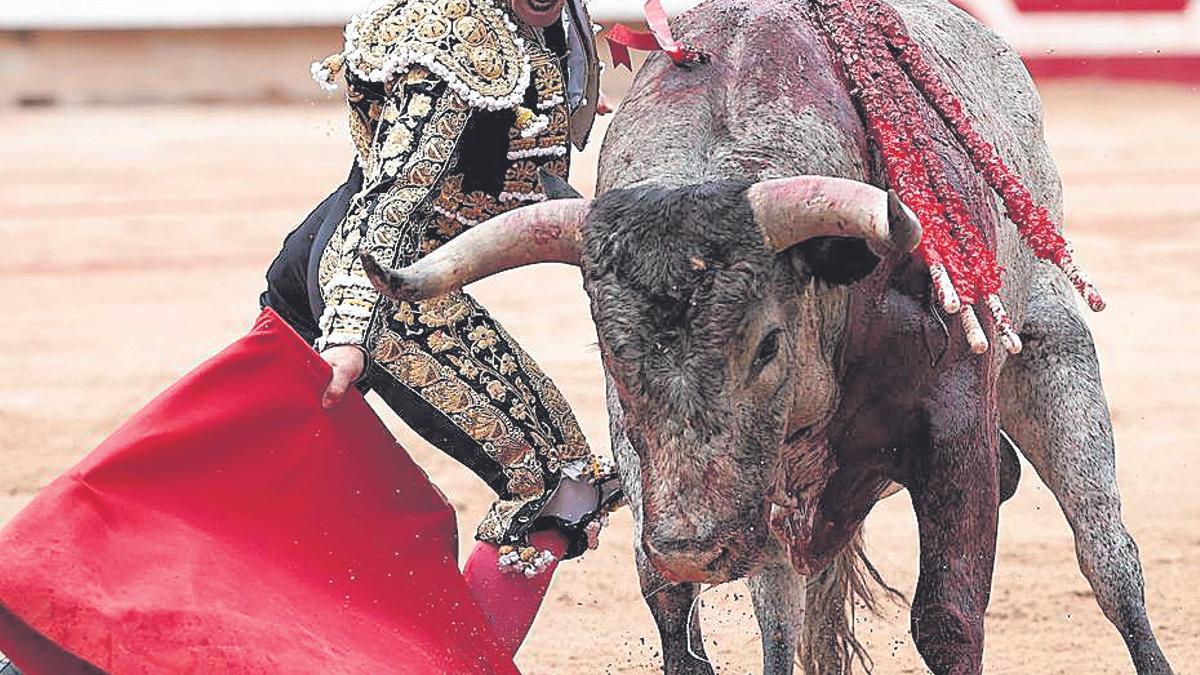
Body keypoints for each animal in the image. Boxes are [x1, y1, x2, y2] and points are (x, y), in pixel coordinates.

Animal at [360, 0, 1176, 667]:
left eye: (767, 346)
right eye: (609, 352)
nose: (695, 547)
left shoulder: (957, 430)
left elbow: (947, 617)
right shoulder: (666, 464)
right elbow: (673, 605)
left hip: (1049, 352)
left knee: (1108, 557)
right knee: (780, 612)